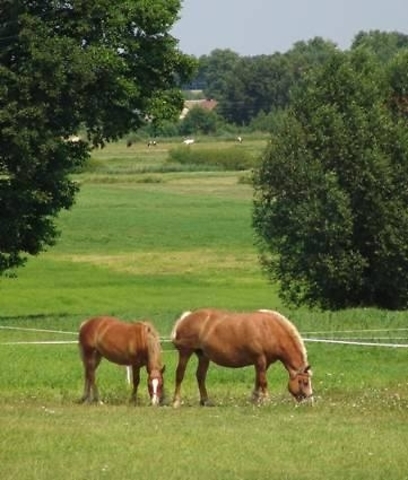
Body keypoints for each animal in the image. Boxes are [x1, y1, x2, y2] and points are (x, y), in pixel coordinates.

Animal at [171, 310, 314, 406]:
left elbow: (258, 380)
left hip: (203, 356)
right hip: (185, 353)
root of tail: (185, 318)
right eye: (305, 382)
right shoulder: (260, 359)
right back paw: (176, 401)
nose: (310, 400)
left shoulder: (263, 363)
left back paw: (205, 401)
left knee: (200, 376)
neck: (269, 330)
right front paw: (266, 400)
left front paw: (255, 399)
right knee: (180, 374)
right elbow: (263, 381)